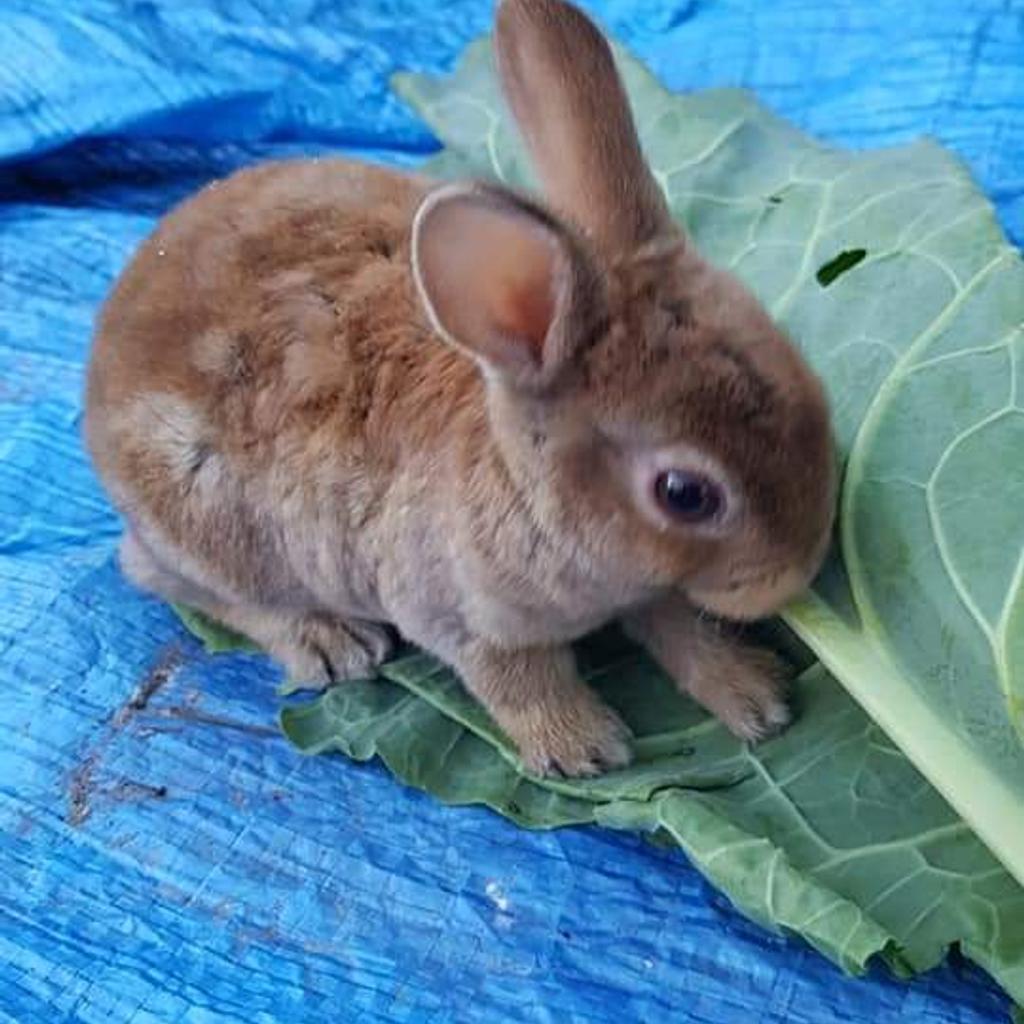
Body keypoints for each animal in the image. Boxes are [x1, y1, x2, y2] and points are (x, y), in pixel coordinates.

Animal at [84, 0, 836, 778]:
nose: (798, 573)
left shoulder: (647, 585)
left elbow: (678, 626)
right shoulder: (464, 621)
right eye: (685, 494)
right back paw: (331, 642)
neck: (532, 490)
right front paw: (583, 749)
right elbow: (521, 680)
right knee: (163, 577)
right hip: (210, 527)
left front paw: (756, 696)